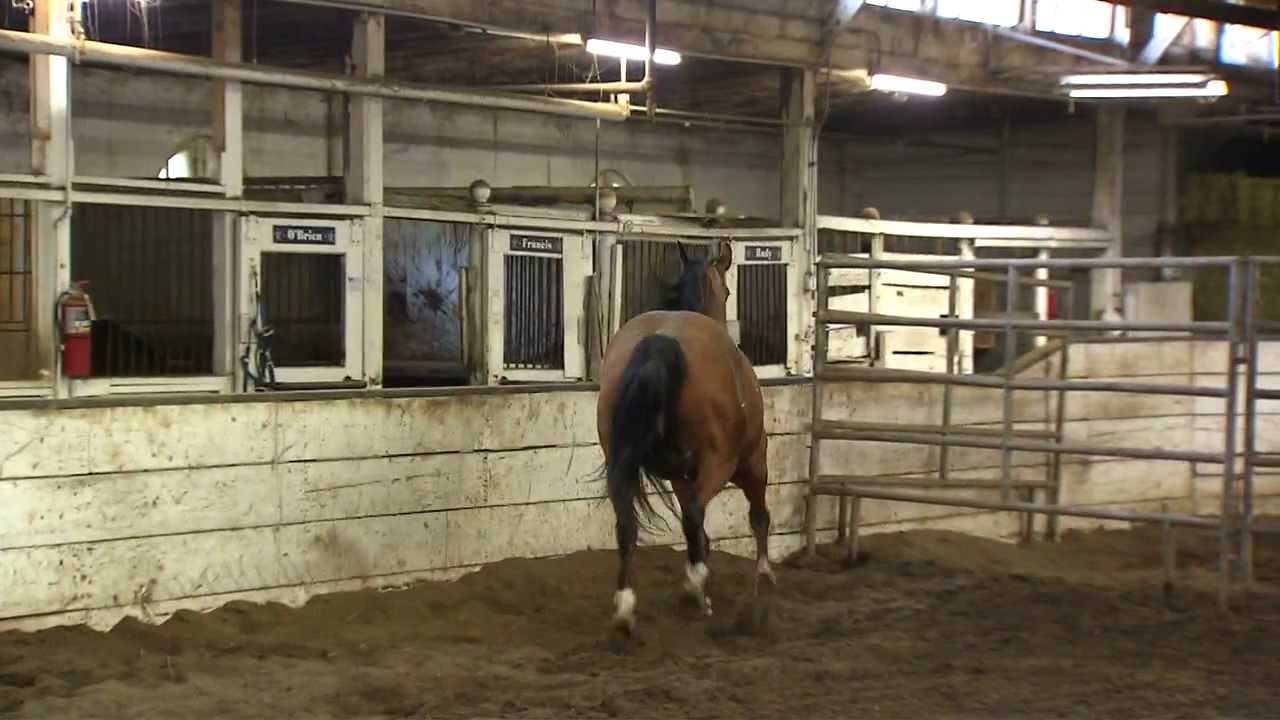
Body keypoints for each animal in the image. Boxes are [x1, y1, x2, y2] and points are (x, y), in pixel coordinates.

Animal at [596, 239, 774, 637]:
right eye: (727, 291)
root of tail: (662, 339)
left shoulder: (680, 476)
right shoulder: (753, 463)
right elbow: (758, 517)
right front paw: (763, 576)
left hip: (625, 466)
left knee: (627, 525)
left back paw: (625, 609)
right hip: (724, 465)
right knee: (695, 516)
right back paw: (694, 591)